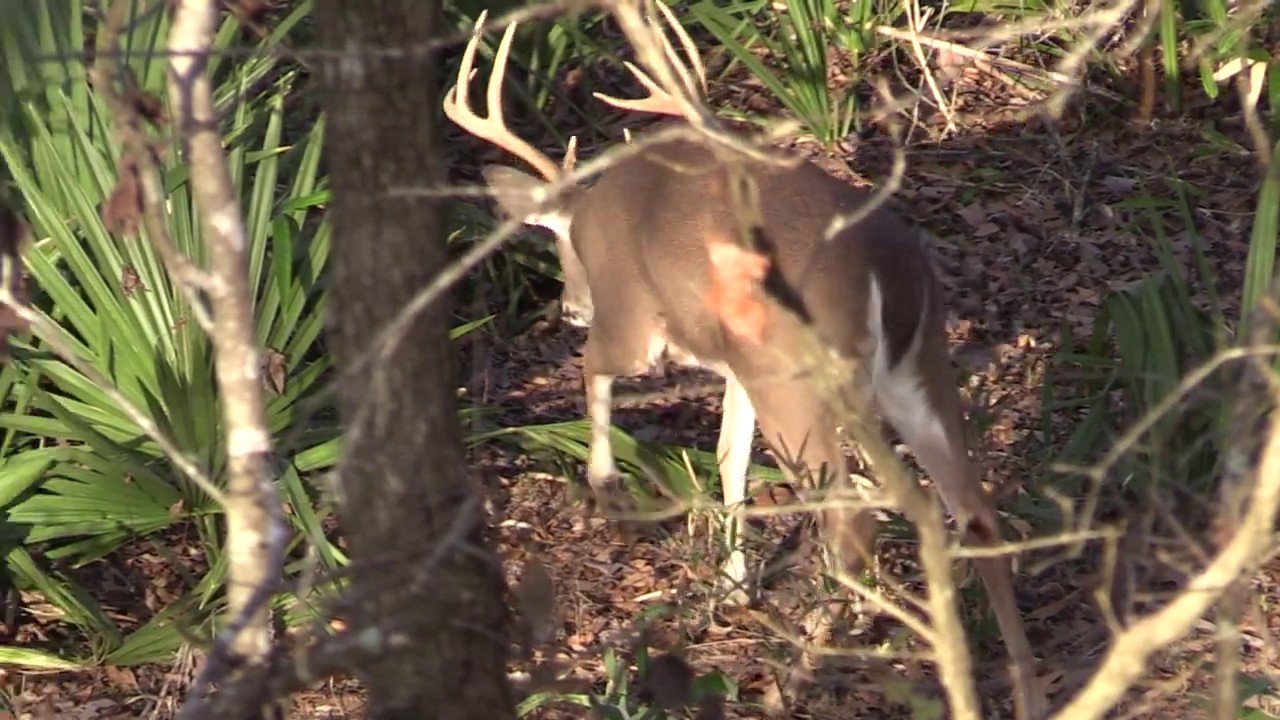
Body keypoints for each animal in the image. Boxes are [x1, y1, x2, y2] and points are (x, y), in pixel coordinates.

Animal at [444, 8, 1046, 719]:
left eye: (559, 244)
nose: (569, 306)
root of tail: (885, 270)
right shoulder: (738, 365)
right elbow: (730, 454)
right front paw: (732, 586)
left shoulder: (636, 323)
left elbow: (595, 372)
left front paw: (609, 490)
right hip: (915, 367)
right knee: (976, 513)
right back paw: (1024, 689)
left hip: (799, 384)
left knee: (855, 518)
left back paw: (803, 671)